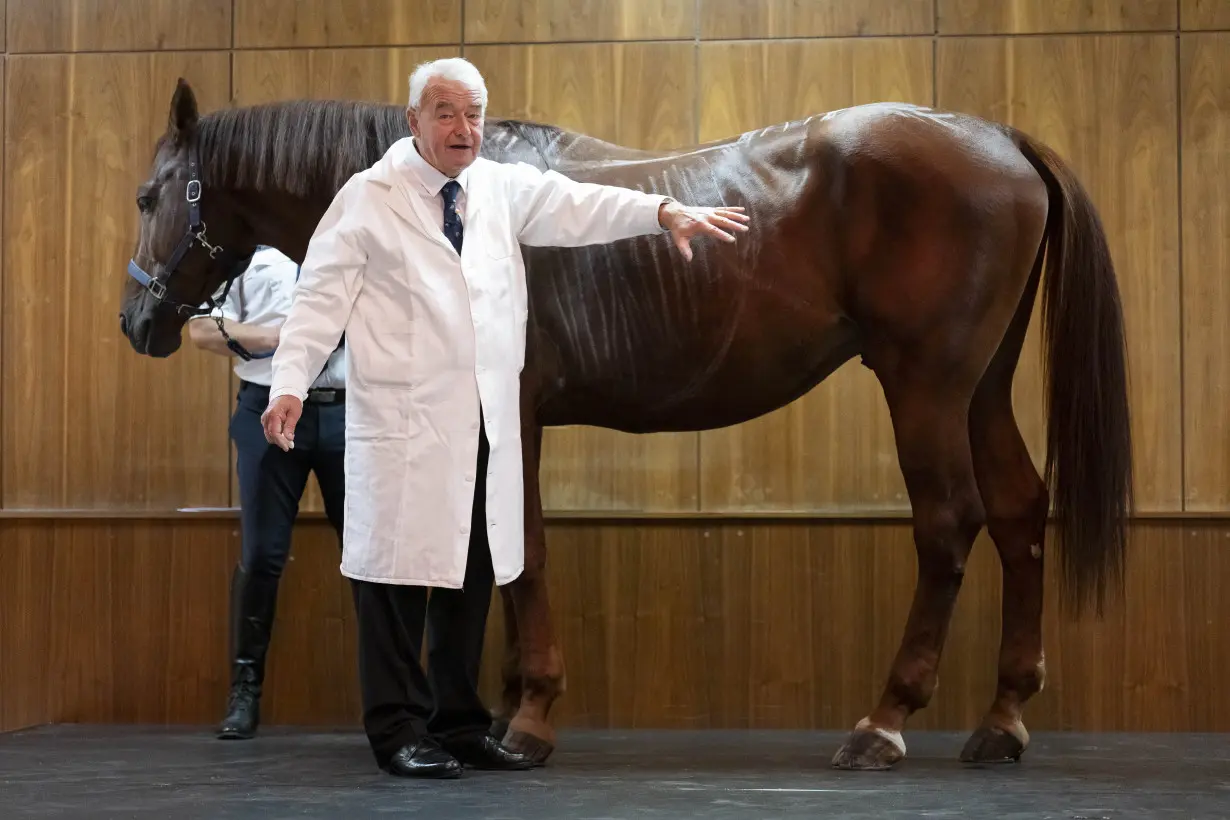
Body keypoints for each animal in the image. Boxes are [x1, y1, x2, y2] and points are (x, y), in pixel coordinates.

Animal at [119, 79, 1126, 772]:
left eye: (148, 196)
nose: (136, 323)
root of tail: (999, 138)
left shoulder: (513, 414)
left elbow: (522, 552)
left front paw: (528, 719)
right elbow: (497, 558)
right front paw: (499, 712)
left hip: (924, 385)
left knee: (950, 526)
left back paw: (884, 723)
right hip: (980, 386)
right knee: (1019, 513)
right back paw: (1001, 722)